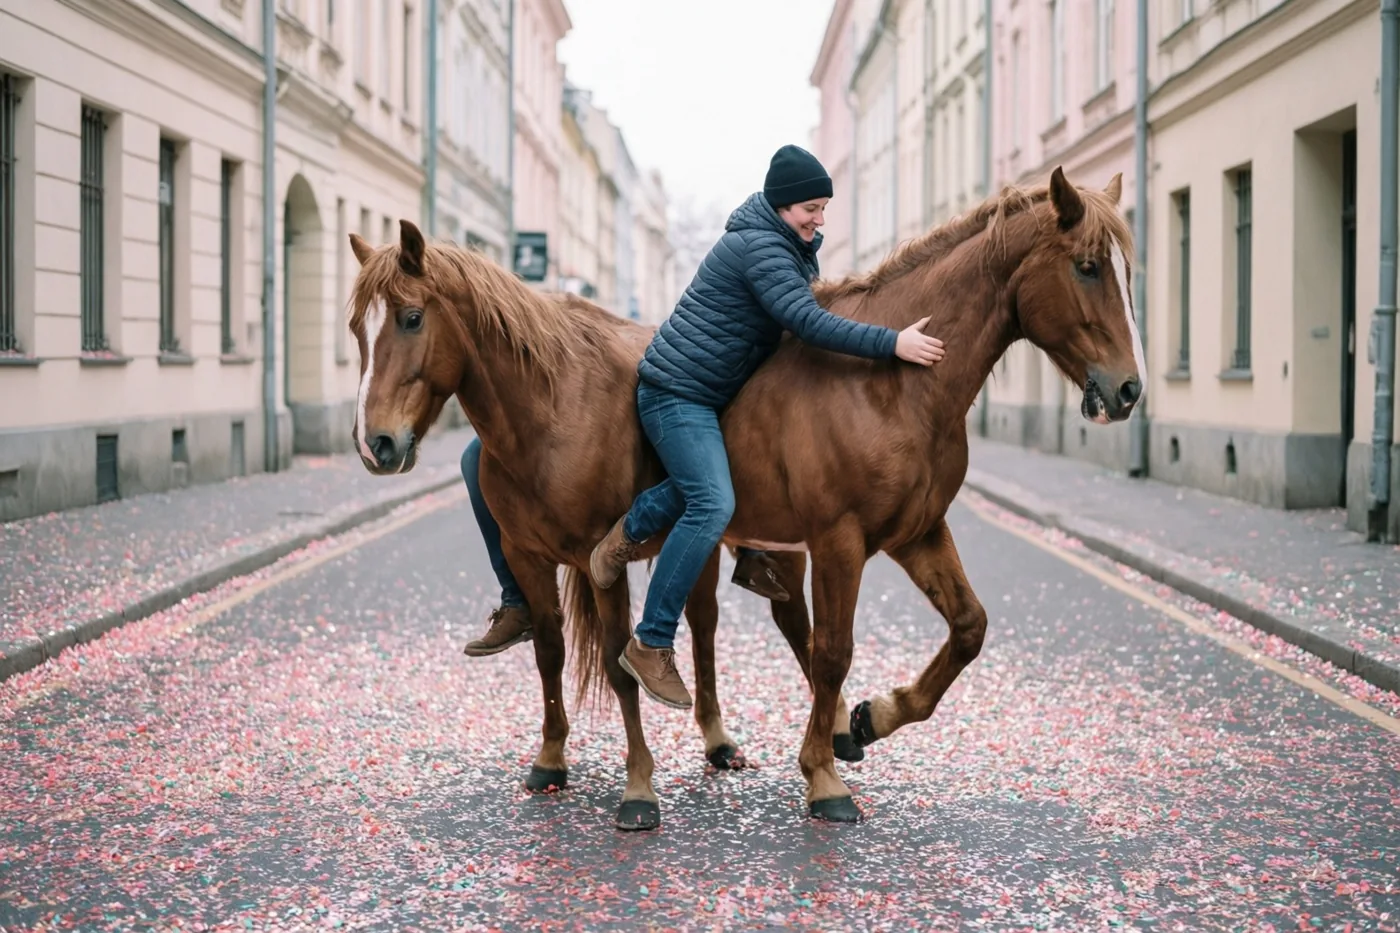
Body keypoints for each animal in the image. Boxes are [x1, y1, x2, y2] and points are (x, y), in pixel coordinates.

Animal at [347, 166, 1145, 829]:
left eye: (410, 318)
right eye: (1088, 267)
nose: (1129, 389)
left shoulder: (913, 531)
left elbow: (964, 629)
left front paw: (869, 721)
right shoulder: (834, 540)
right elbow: (591, 657)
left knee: (718, 627)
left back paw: (750, 736)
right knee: (643, 637)